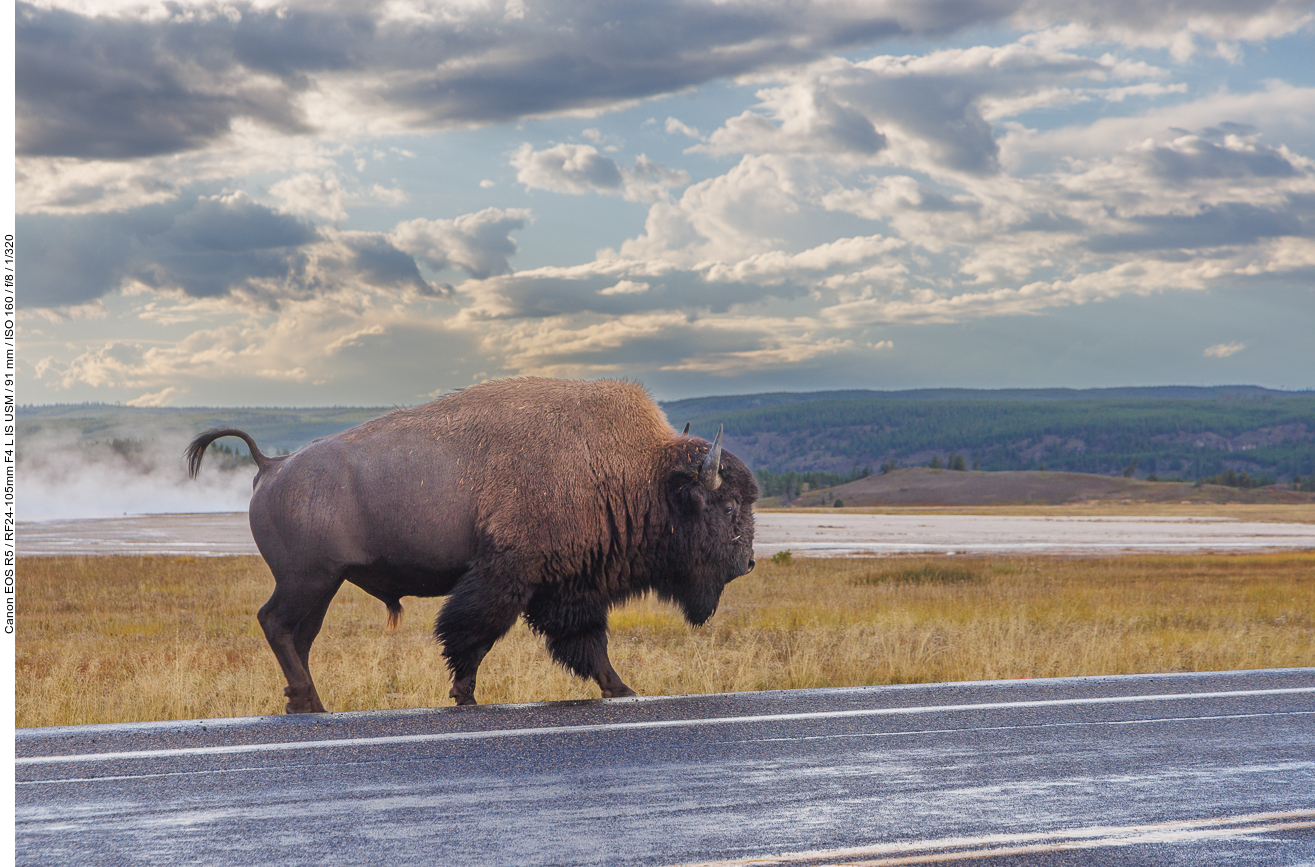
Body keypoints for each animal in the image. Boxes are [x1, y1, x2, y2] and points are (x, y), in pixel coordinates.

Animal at [188, 378, 762, 710]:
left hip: (321, 585)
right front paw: (463, 695)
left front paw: (622, 690)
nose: (749, 562)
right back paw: (310, 701)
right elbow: (473, 634)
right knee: (276, 623)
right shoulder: (507, 576)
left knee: (297, 635)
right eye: (729, 507)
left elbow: (586, 643)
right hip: (308, 579)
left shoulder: (569, 588)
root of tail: (271, 466)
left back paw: (304, 702)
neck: (633, 471)